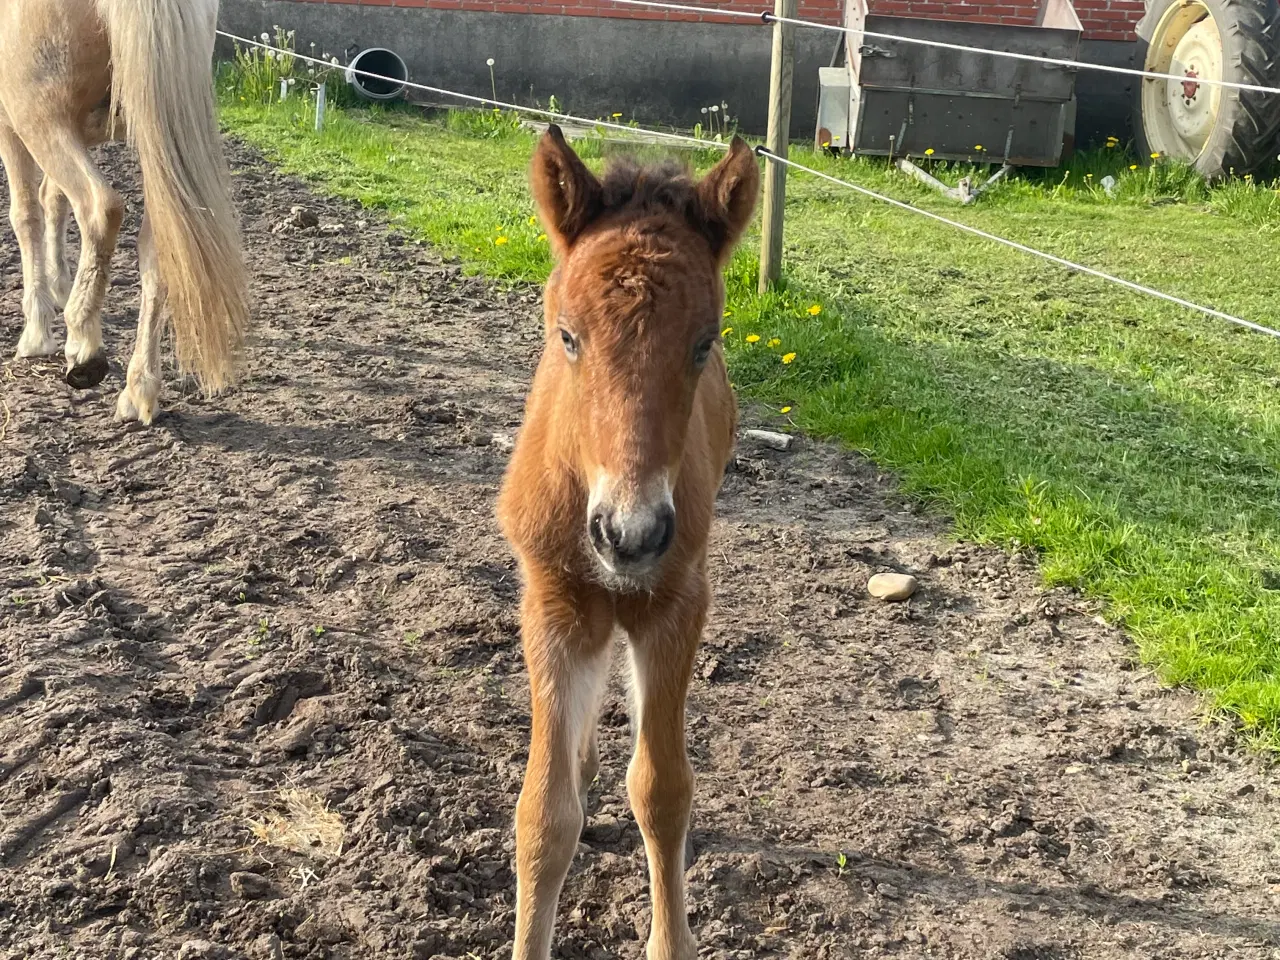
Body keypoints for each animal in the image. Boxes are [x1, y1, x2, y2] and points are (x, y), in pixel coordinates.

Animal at [0, 0, 248, 419]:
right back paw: (139, 389)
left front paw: (37, 330)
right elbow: (53, 200)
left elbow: (27, 213)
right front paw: (60, 284)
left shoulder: (11, 129)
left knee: (99, 208)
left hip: (39, 120)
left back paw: (83, 345)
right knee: (158, 248)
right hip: (152, 141)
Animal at [496, 129, 757, 960]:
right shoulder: (553, 599)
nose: (630, 533)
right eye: (568, 336)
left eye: (704, 343)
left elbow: (663, 791)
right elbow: (542, 815)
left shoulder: (675, 602)